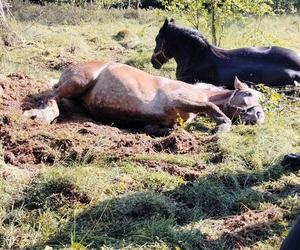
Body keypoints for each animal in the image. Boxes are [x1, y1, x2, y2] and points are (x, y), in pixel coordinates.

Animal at [24, 60, 264, 135]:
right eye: (248, 93)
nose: (260, 116)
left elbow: (158, 127)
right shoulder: (179, 100)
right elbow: (212, 108)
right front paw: (221, 128)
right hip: (79, 81)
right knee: (51, 98)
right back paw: (39, 116)